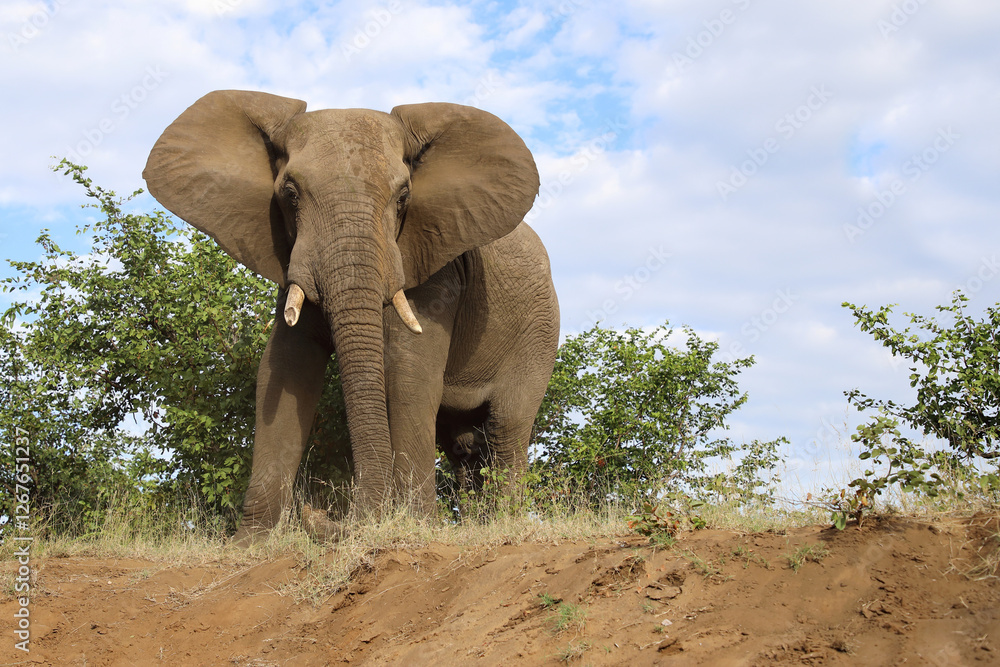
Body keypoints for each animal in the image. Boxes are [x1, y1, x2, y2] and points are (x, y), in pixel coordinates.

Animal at [143, 90, 559, 542]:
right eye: (290, 194)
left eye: (403, 198)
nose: (317, 513)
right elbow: (283, 368)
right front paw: (249, 543)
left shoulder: (435, 265)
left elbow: (407, 376)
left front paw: (416, 526)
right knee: (463, 444)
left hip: (540, 331)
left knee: (506, 426)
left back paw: (501, 522)